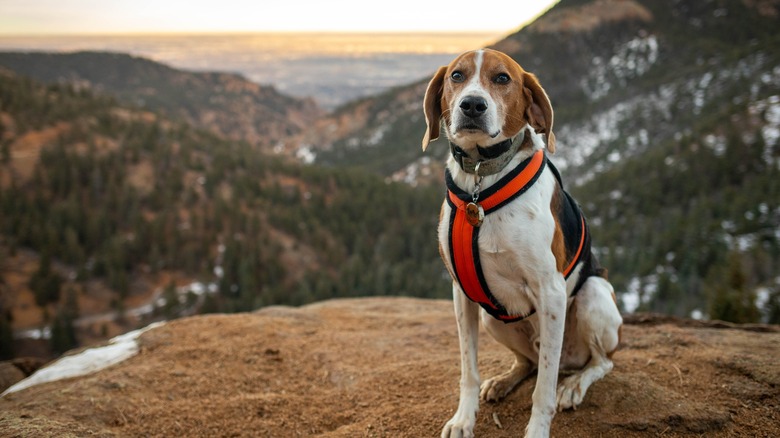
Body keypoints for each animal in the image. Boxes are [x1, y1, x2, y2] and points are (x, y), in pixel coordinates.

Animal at [420, 48, 620, 438]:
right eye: (456, 76)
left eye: (502, 78)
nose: (472, 105)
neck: (481, 180)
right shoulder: (462, 294)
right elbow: (468, 369)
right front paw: (464, 419)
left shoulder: (551, 291)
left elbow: (543, 393)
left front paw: (537, 429)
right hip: (492, 317)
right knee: (529, 362)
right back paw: (505, 380)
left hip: (593, 295)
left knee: (599, 362)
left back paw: (574, 384)